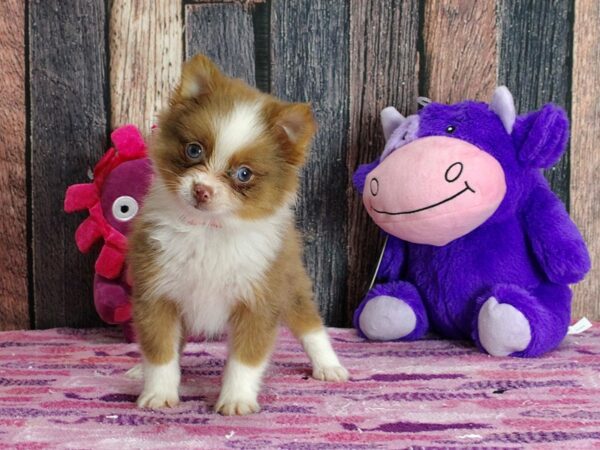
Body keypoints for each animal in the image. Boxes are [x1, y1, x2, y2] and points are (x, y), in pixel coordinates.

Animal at [129, 55, 350, 414]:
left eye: (243, 174)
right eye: (194, 150)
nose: (202, 190)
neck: (208, 230)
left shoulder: (258, 299)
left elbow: (245, 360)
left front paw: (236, 399)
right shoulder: (157, 293)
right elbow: (161, 350)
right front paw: (159, 392)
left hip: (291, 284)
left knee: (310, 324)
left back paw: (328, 365)